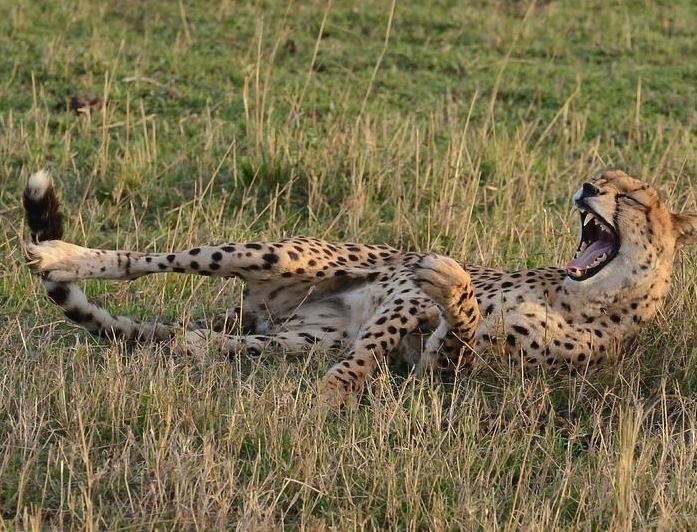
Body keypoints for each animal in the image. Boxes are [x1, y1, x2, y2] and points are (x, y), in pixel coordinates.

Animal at [22, 169, 697, 405]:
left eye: (631, 195)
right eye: (600, 176)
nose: (586, 187)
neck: (583, 298)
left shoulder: (446, 370)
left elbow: (455, 335)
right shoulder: (403, 289)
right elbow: (386, 332)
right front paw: (337, 393)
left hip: (290, 342)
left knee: (198, 341)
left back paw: (191, 345)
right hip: (278, 253)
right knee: (145, 259)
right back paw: (58, 254)